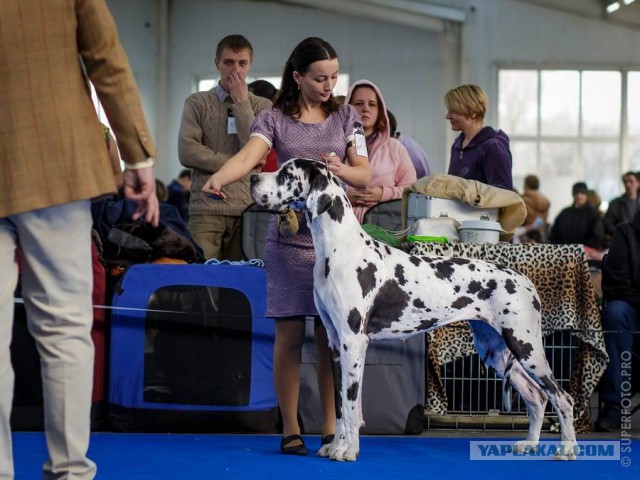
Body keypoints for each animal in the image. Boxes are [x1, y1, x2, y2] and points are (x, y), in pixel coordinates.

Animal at [251, 158, 580, 462]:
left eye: (287, 173)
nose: (253, 177)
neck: (337, 248)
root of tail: (525, 280)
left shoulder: (353, 341)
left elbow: (352, 403)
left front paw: (349, 450)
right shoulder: (334, 342)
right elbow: (340, 404)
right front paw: (335, 446)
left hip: (526, 345)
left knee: (562, 397)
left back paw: (567, 449)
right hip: (495, 350)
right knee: (537, 397)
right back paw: (530, 444)